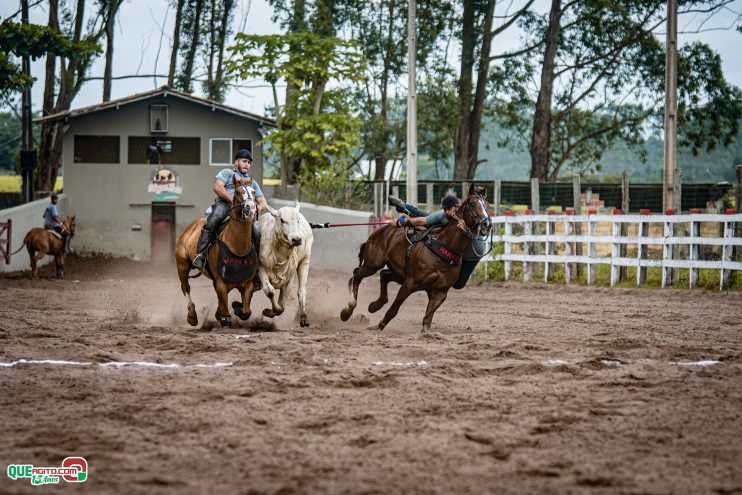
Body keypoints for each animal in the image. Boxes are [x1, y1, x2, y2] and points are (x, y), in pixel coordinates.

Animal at [174, 175, 258, 330]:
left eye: (254, 191)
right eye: (238, 192)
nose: (251, 207)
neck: (237, 246)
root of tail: (190, 228)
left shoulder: (248, 283)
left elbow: (245, 312)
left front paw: (236, 307)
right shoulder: (221, 283)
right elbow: (226, 312)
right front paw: (224, 317)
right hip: (182, 265)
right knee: (185, 287)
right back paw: (192, 316)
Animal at [338, 183, 492, 334]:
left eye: (487, 204)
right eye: (473, 204)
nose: (487, 224)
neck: (443, 248)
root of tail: (381, 230)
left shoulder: (440, 292)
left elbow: (427, 318)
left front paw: (426, 333)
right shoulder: (410, 283)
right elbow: (394, 309)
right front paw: (378, 327)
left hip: (398, 273)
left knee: (384, 275)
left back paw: (374, 305)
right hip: (373, 264)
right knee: (357, 276)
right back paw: (347, 311)